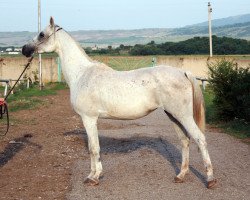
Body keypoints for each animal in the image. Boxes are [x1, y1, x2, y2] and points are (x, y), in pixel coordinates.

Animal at [22, 16, 217, 188]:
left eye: (41, 34)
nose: (25, 49)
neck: (82, 74)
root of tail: (183, 72)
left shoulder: (89, 118)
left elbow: (94, 148)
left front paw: (94, 178)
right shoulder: (89, 120)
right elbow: (92, 148)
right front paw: (92, 174)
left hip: (183, 116)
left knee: (200, 139)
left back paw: (210, 180)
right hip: (173, 115)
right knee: (185, 141)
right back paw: (181, 175)